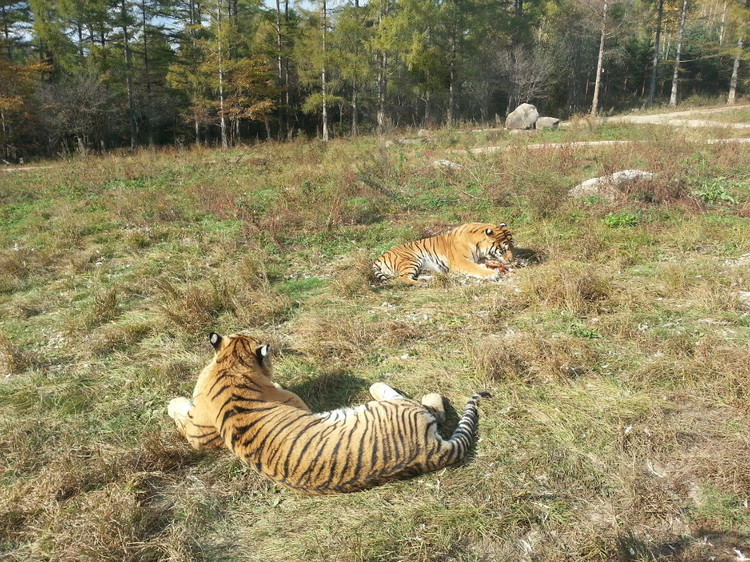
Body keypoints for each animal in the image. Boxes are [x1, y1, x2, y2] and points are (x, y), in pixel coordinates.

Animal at [167, 330, 490, 492]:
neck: (230, 364)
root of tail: (429, 451)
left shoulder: (199, 429)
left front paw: (172, 403)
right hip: (392, 407)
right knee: (428, 406)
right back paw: (399, 388)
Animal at [372, 221, 516, 284]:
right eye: (503, 250)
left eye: (512, 246)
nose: (511, 260)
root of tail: (381, 256)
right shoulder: (460, 261)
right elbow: (475, 268)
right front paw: (493, 274)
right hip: (411, 260)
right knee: (402, 278)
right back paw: (422, 285)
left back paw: (430, 279)